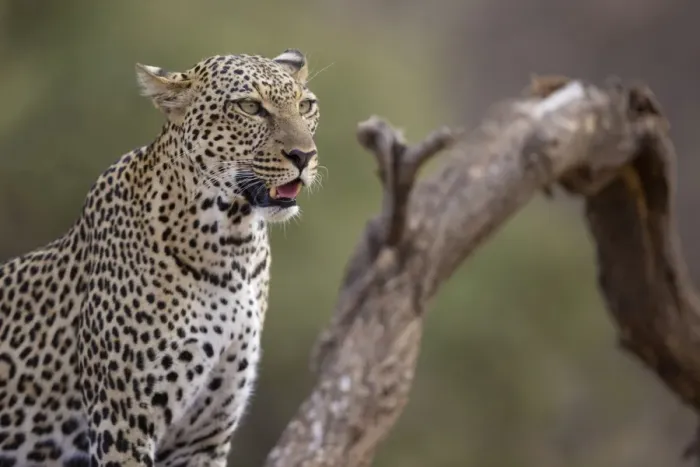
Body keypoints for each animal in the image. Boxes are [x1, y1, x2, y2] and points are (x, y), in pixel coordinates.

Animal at [0, 48, 320, 466]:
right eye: (250, 107)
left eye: (306, 105)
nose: (304, 156)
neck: (233, 246)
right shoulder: (122, 425)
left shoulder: (205, 436)